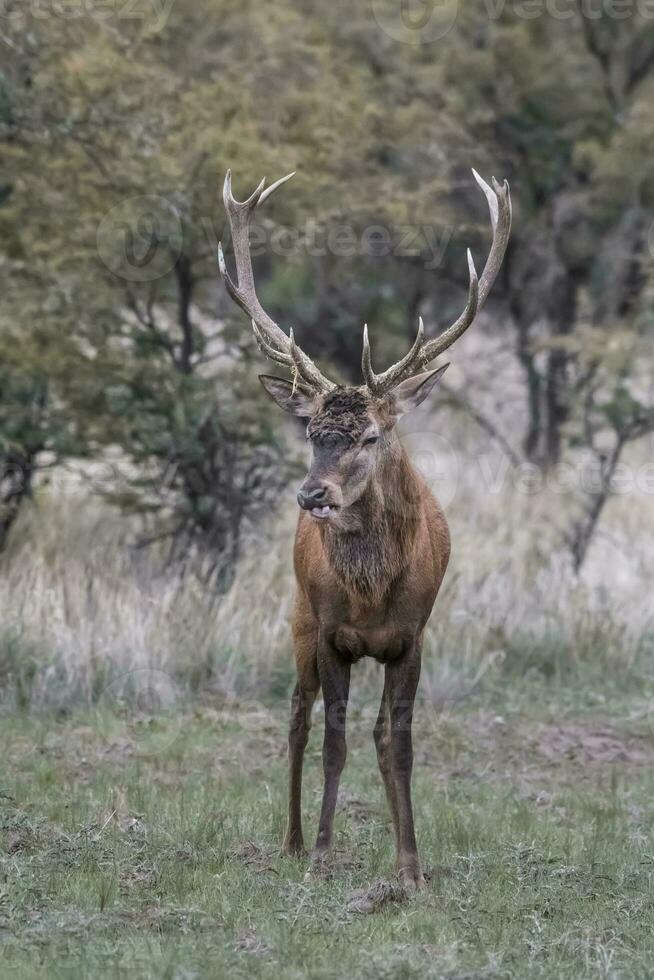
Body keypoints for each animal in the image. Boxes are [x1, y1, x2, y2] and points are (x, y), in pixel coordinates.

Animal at [220, 167, 512, 888]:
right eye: (311, 431)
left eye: (373, 434)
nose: (311, 494)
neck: (375, 595)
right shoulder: (331, 634)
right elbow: (334, 739)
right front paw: (324, 854)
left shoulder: (413, 637)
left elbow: (396, 743)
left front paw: (411, 865)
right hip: (297, 618)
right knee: (296, 718)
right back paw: (293, 839)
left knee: (371, 735)